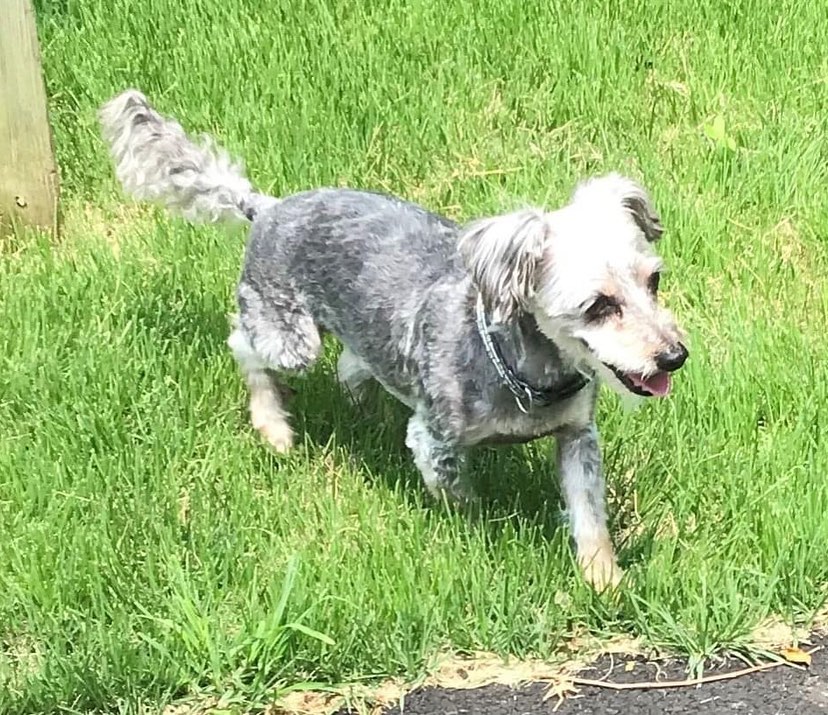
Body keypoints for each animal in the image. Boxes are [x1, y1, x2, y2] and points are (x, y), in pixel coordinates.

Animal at [100, 91, 688, 592]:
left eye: (654, 281)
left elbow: (589, 513)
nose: (674, 356)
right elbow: (462, 501)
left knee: (351, 365)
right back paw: (273, 425)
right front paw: (478, 536)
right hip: (288, 338)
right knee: (245, 345)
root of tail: (266, 206)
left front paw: (604, 578)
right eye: (599, 306)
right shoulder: (436, 443)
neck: (523, 372)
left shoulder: (576, 437)